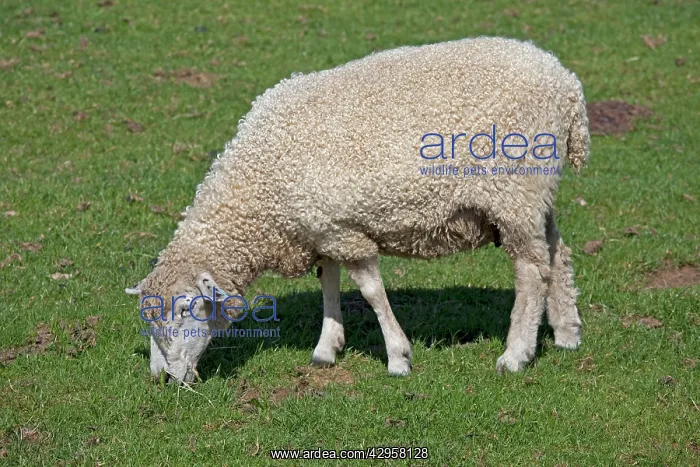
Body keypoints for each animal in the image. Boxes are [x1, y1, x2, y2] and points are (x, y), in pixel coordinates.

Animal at [126, 36, 589, 382]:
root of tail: (566, 83)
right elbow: (328, 282)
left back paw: (516, 354)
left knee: (531, 270)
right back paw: (566, 332)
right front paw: (326, 348)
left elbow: (371, 292)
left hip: (513, 190)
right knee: (557, 251)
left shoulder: (345, 231)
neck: (261, 185)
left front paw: (398, 358)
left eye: (185, 310)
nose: (163, 377)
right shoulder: (322, 228)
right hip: (536, 192)